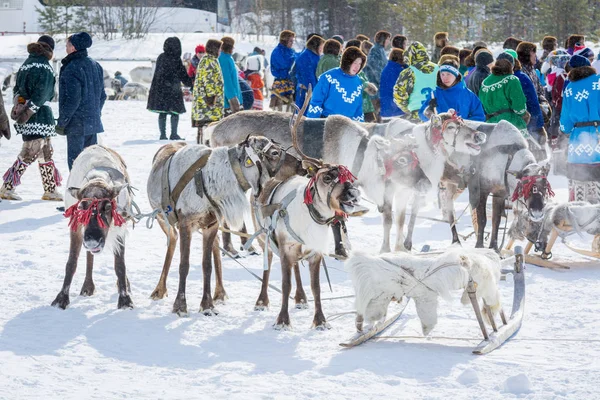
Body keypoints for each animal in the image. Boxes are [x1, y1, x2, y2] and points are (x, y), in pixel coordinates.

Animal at [346, 248, 502, 336]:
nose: (360, 324)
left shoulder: (423, 296)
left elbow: (426, 316)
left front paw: (427, 331)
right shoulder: (424, 296)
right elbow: (427, 315)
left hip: (484, 284)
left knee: (492, 299)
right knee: (488, 301)